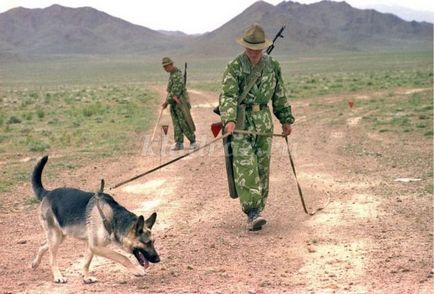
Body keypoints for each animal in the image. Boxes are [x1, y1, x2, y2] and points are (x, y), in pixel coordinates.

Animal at [31, 155, 159, 284]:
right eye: (146, 242)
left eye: (153, 242)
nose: (158, 259)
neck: (113, 219)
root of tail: (47, 193)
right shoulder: (96, 246)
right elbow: (122, 257)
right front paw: (136, 270)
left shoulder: (90, 245)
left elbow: (86, 262)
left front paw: (86, 277)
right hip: (55, 237)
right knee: (52, 258)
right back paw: (58, 276)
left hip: (60, 236)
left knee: (43, 245)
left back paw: (35, 263)